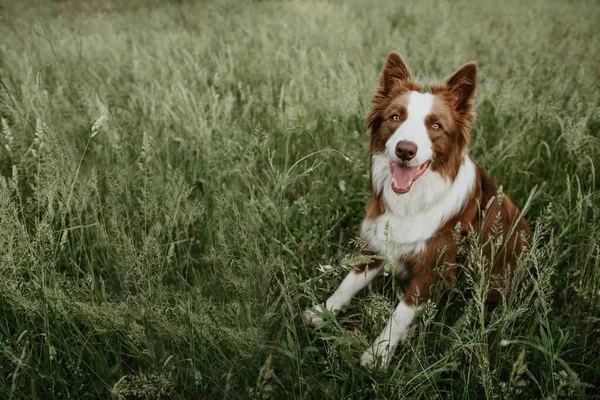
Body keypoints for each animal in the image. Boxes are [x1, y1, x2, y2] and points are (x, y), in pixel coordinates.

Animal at [302, 52, 532, 366]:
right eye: (395, 117)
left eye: (435, 126)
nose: (405, 150)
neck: (412, 201)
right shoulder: (377, 244)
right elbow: (349, 281)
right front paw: (324, 310)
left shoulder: (430, 272)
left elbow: (399, 315)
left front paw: (378, 353)